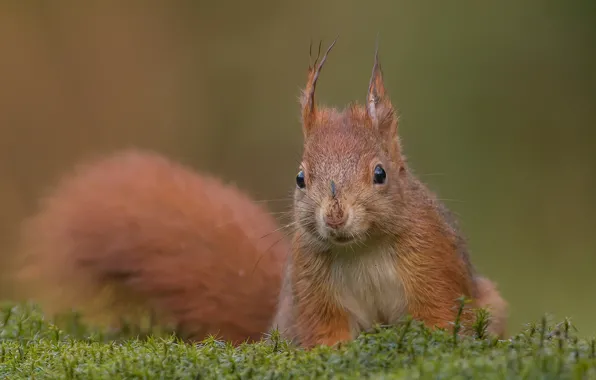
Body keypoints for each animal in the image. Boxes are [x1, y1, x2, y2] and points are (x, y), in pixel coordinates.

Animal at [272, 40, 508, 348]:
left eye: (380, 173)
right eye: (300, 179)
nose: (335, 217)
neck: (363, 248)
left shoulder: (434, 262)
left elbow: (439, 314)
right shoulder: (312, 287)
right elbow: (326, 333)